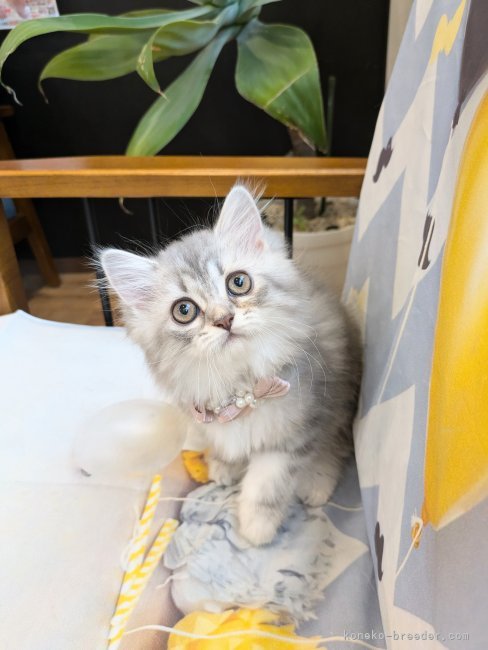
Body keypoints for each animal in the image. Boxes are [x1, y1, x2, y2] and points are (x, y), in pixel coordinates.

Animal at [100, 185, 362, 546]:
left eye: (238, 283)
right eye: (184, 310)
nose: (224, 319)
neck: (240, 389)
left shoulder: (296, 431)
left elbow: (267, 483)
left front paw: (255, 527)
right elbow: (226, 445)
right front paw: (224, 464)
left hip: (341, 400)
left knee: (335, 447)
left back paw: (317, 483)